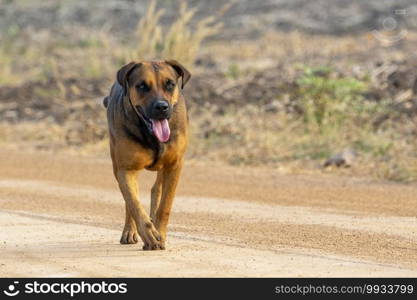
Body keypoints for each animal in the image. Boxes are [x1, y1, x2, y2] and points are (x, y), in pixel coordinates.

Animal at [103, 59, 190, 250]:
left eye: (170, 84)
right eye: (142, 86)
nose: (161, 107)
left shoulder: (174, 165)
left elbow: (165, 205)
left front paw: (160, 233)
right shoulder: (125, 168)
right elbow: (134, 203)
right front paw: (149, 234)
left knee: (156, 189)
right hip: (116, 164)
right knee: (129, 200)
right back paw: (130, 231)